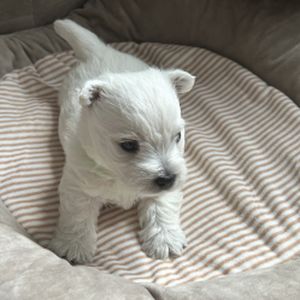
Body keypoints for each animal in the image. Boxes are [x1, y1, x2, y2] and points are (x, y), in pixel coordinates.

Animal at [48, 19, 196, 262]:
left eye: (177, 136)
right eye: (128, 145)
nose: (167, 179)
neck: (117, 174)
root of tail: (101, 50)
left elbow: (161, 205)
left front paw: (165, 239)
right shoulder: (78, 184)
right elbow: (77, 214)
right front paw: (74, 246)